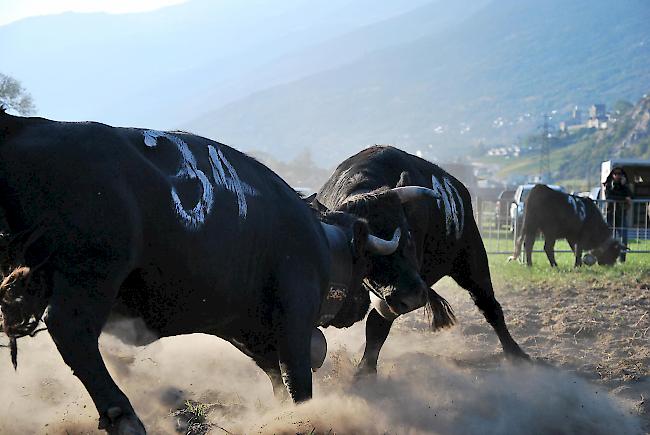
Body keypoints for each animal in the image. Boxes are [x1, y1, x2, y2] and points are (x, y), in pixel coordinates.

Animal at [0, 110, 416, 435]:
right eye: (362, 263)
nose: (362, 305)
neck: (321, 242)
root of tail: (19, 127)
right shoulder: (294, 320)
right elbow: (297, 381)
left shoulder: (248, 331)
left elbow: (276, 379)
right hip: (91, 277)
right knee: (72, 331)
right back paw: (125, 417)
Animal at [314, 145, 528, 376]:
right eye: (367, 255)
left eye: (408, 234)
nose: (413, 296)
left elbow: (376, 325)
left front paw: (365, 371)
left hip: (471, 261)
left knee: (489, 305)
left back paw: (515, 353)